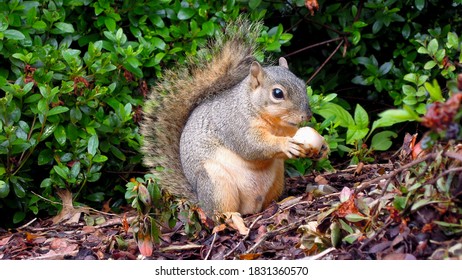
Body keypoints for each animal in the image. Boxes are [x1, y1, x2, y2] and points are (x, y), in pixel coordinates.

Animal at [140, 18, 324, 218]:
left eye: (302, 84)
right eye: (277, 93)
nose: (307, 115)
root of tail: (200, 201)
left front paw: (322, 148)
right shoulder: (235, 124)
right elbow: (251, 145)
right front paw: (285, 144)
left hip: (277, 178)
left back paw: (283, 201)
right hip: (217, 184)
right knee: (221, 213)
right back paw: (234, 219)